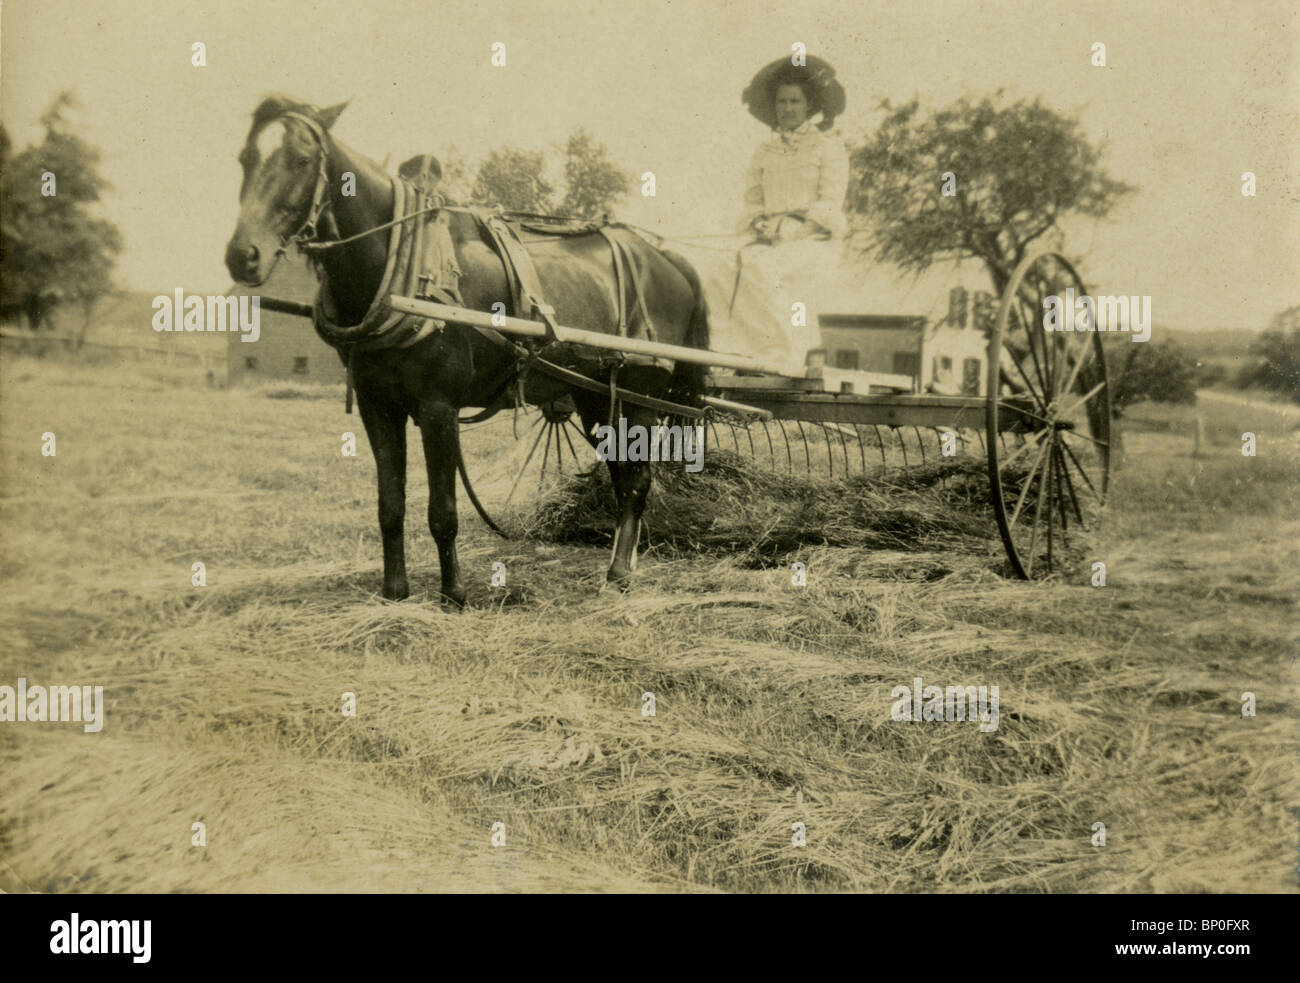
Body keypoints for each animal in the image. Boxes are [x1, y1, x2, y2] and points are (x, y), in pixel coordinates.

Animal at [224, 98, 712, 605]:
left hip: (641, 394)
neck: (405, 272)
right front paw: (394, 592)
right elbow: (390, 504)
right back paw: (623, 562)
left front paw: (453, 594)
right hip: (596, 394)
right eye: (244, 159)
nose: (243, 256)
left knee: (636, 482)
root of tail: (667, 260)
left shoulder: (438, 407)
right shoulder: (377, 406)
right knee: (621, 473)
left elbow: (443, 510)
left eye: (302, 160)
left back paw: (618, 575)